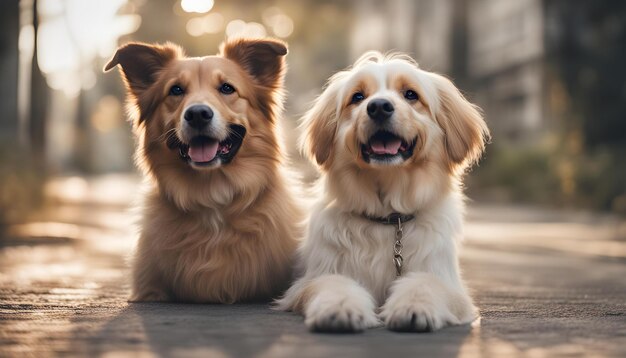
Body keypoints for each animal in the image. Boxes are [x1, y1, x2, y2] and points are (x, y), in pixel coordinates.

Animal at [276, 51, 488, 332]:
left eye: (410, 94)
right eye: (357, 97)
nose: (378, 107)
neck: (389, 217)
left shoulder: (447, 283)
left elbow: (425, 282)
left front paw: (414, 307)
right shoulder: (314, 277)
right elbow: (335, 283)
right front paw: (340, 308)